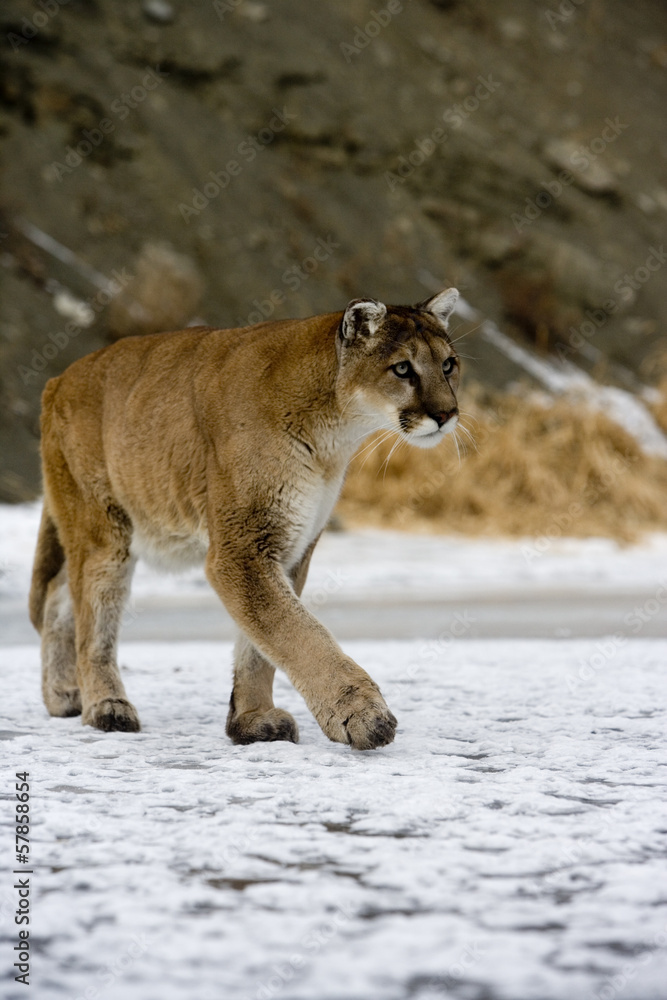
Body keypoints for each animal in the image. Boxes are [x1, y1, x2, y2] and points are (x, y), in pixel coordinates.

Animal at [29, 289, 460, 750]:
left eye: (448, 364)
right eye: (403, 368)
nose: (447, 413)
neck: (334, 432)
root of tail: (60, 377)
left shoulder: (290, 545)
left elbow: (263, 643)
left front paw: (252, 719)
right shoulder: (242, 547)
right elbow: (298, 632)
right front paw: (362, 714)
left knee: (57, 593)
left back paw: (62, 695)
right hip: (105, 532)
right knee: (92, 615)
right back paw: (106, 706)